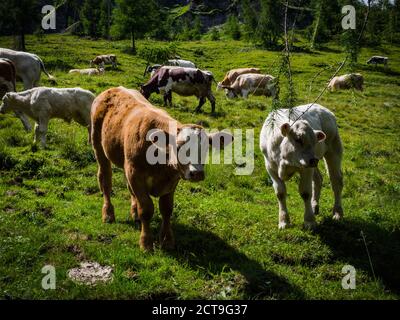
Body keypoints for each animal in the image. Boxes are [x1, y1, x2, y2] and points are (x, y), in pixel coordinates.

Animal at [90, 86, 234, 251]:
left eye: (206, 148)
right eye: (178, 146)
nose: (196, 173)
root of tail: (113, 89)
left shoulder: (171, 180)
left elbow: (166, 209)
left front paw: (167, 240)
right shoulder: (135, 174)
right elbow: (146, 209)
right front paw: (146, 242)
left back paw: (133, 212)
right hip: (99, 149)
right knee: (105, 181)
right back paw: (108, 214)